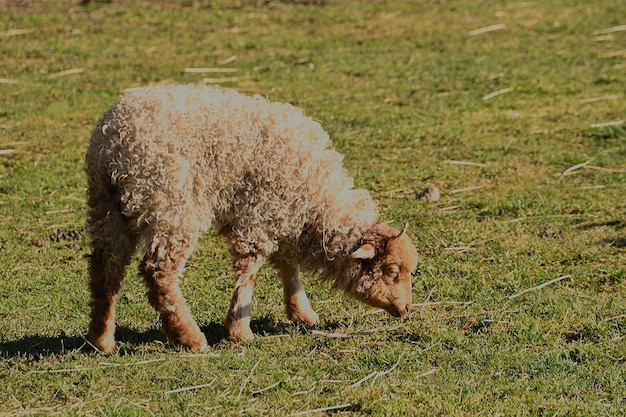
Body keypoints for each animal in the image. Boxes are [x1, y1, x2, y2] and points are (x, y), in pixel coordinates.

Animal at [81, 84, 414, 352]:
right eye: (392, 271)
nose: (407, 309)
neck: (317, 200)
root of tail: (114, 143)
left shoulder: (282, 215)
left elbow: (287, 265)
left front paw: (301, 312)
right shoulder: (259, 213)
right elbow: (250, 270)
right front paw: (240, 329)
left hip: (107, 207)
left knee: (105, 270)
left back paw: (102, 339)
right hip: (171, 206)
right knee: (159, 272)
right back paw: (189, 337)